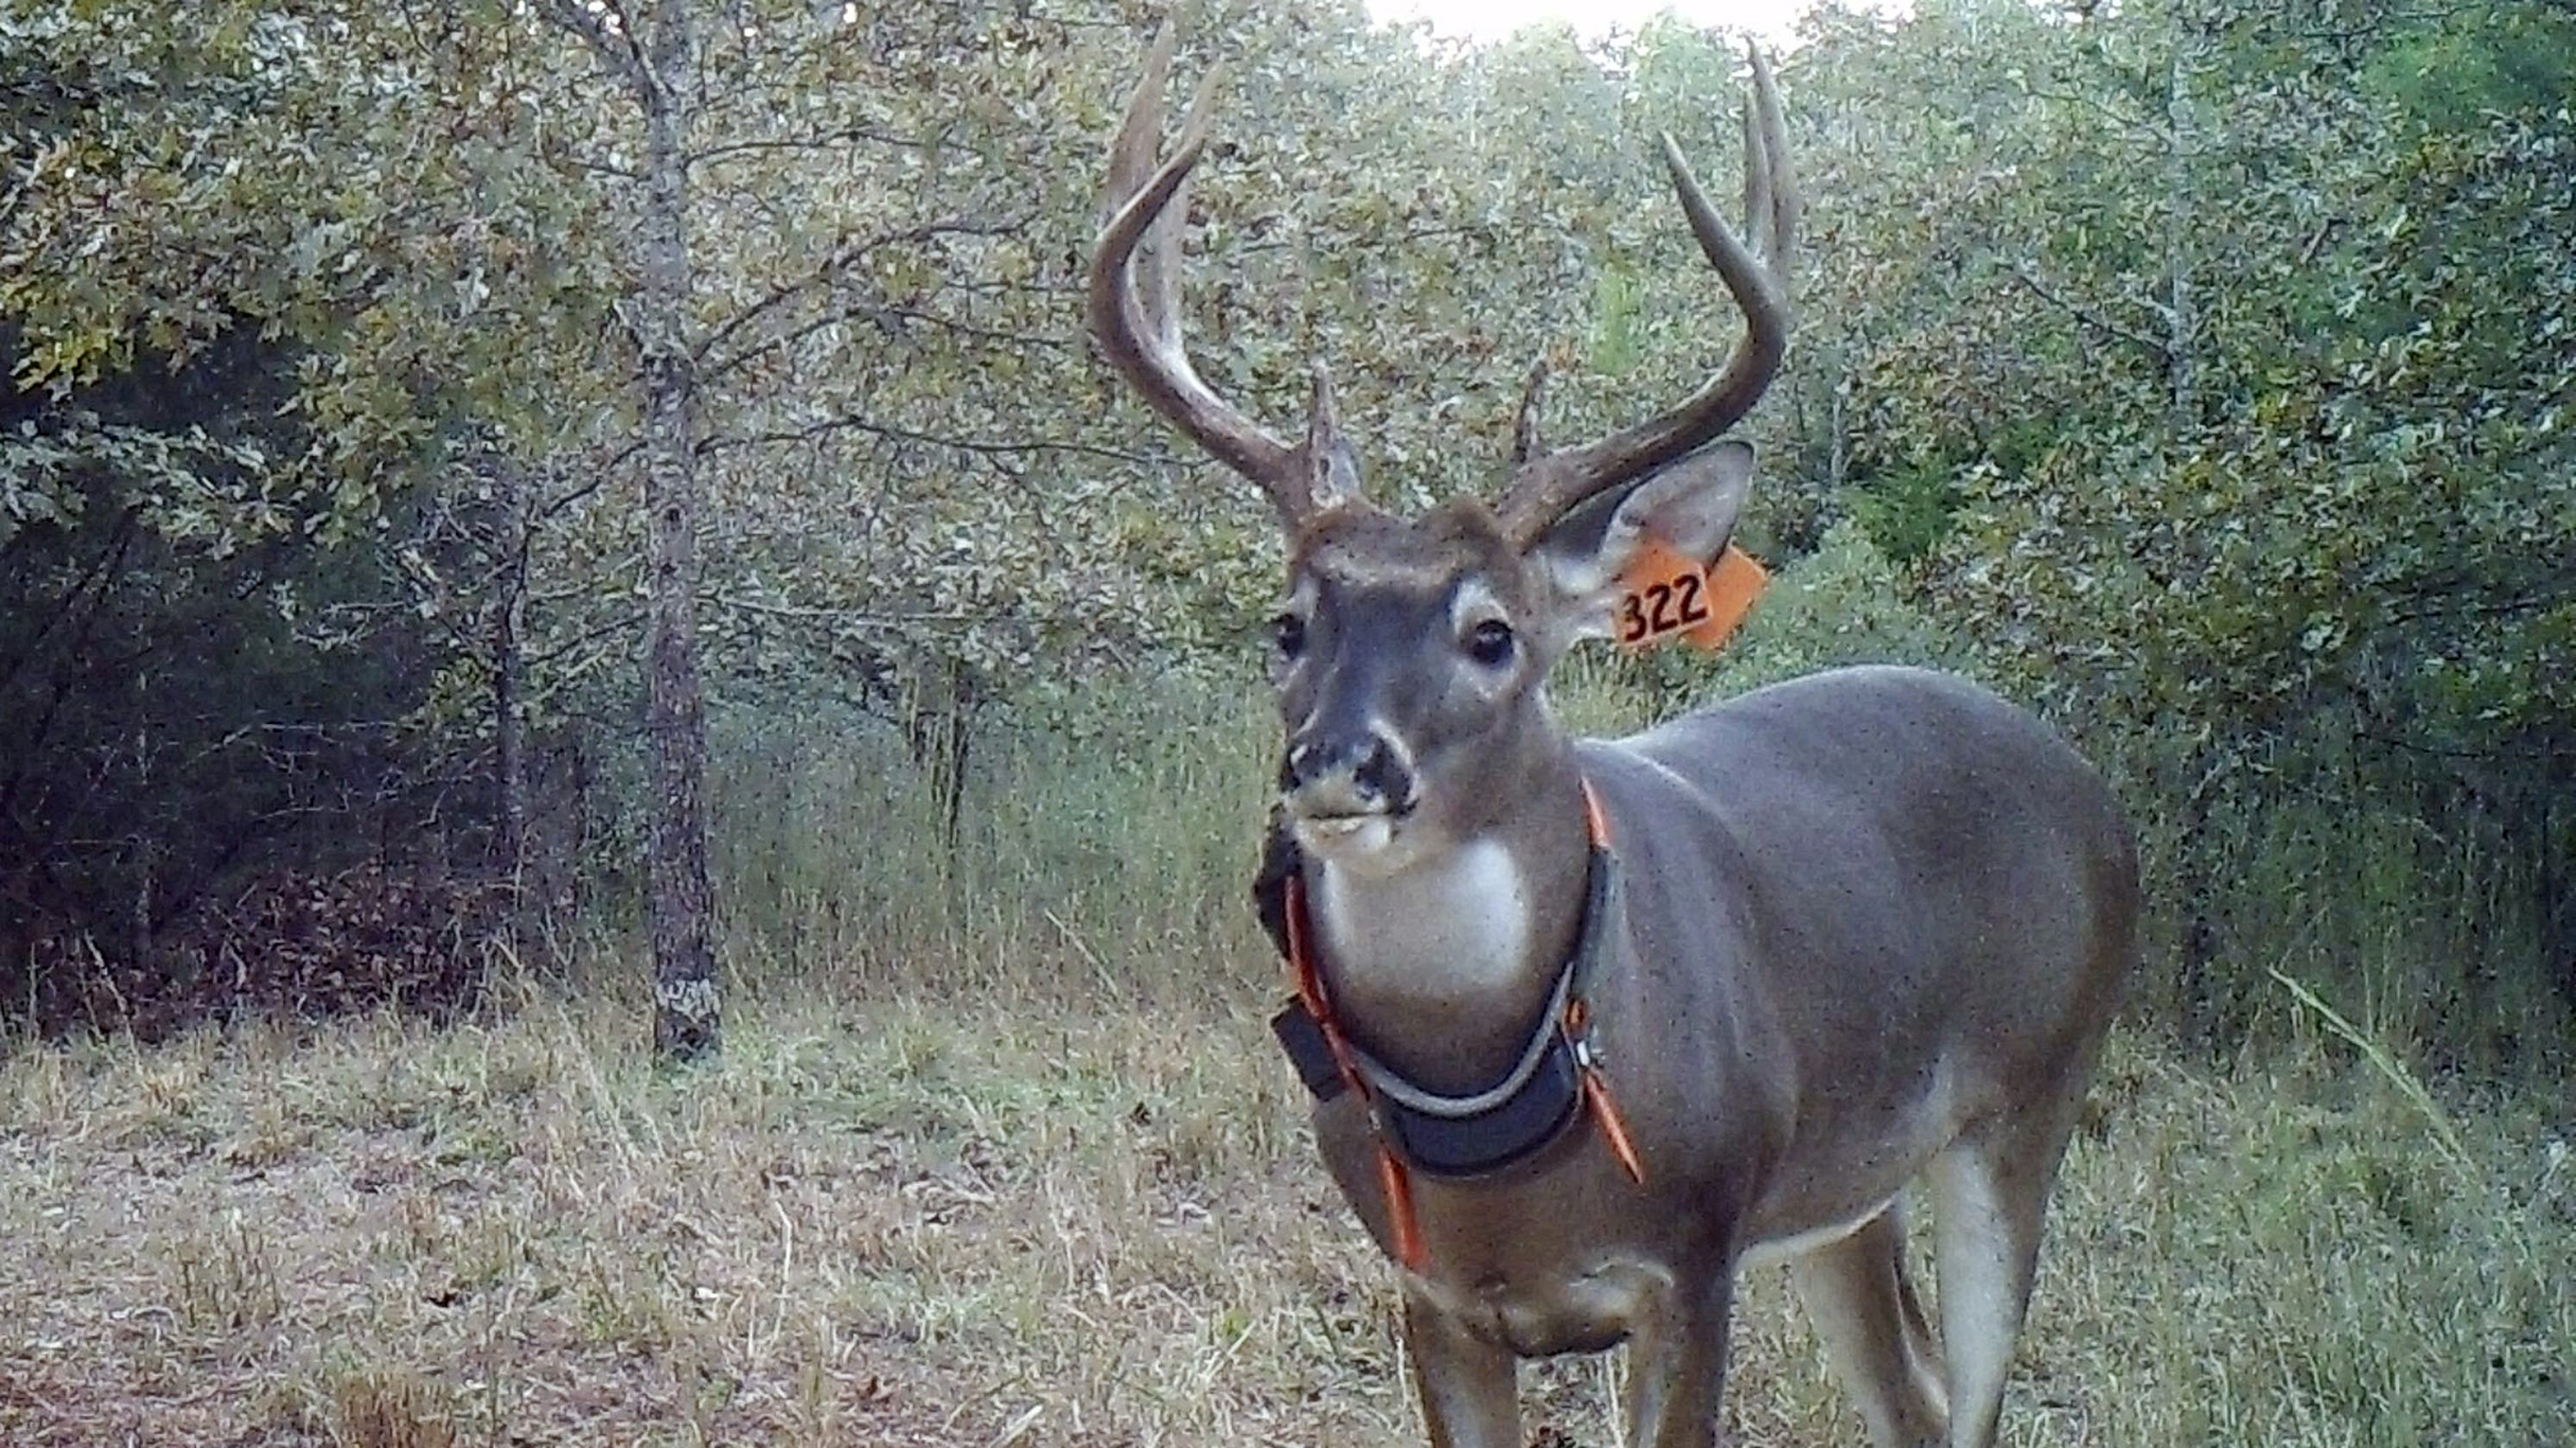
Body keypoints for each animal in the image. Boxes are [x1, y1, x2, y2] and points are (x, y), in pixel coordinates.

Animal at [1086, 29, 2139, 1448]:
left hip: (2032, 1097)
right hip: (1846, 1186)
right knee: (1912, 1397)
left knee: (1972, 1398)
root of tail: (2092, 792)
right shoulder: (1431, 1294)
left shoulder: (1690, 1257)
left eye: (1492, 634)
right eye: (1288, 622)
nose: (1338, 766)